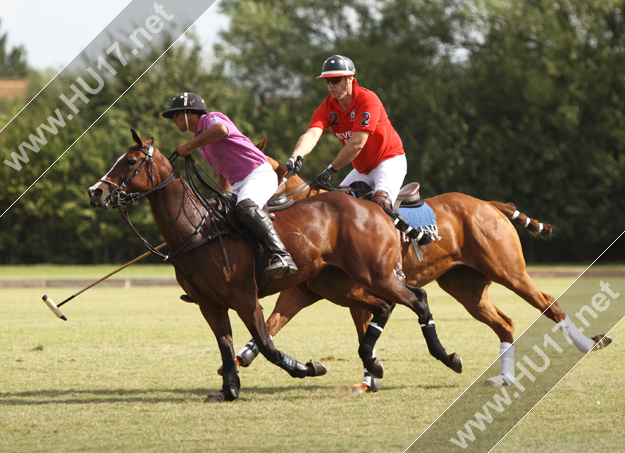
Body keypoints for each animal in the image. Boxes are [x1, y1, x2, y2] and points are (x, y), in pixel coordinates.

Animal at [88, 129, 460, 400]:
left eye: (130, 161)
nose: (95, 192)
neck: (197, 230)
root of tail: (375, 206)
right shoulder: (210, 304)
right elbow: (226, 347)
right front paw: (228, 390)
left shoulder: (244, 297)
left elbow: (266, 343)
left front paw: (308, 368)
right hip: (337, 284)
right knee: (383, 305)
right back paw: (374, 363)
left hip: (375, 273)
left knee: (416, 299)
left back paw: (447, 357)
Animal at [233, 155, 608, 388]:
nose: (233, 209)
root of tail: (488, 204)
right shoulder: (304, 291)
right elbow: (271, 324)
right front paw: (241, 359)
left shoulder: (361, 290)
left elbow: (366, 329)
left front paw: (370, 377)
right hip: (466, 287)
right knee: (504, 322)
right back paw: (503, 377)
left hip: (509, 271)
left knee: (548, 302)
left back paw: (588, 344)